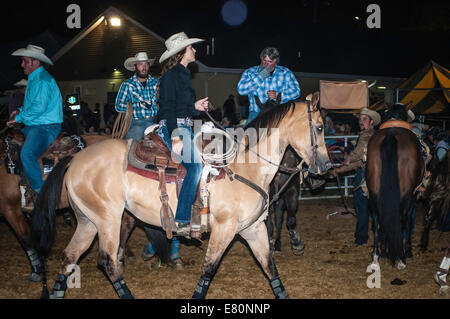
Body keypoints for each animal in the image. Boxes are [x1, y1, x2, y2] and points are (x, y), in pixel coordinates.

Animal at [30, 91, 330, 298]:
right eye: (319, 127)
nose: (325, 168)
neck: (245, 166)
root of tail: (74, 159)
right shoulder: (225, 229)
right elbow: (209, 268)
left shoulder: (253, 228)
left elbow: (270, 267)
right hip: (107, 220)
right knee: (107, 261)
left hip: (88, 221)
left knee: (69, 258)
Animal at [366, 105, 426, 270]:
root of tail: (391, 135)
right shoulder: (413, 197)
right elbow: (408, 222)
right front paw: (408, 251)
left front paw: (384, 251)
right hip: (406, 195)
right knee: (402, 219)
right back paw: (401, 258)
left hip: (374, 193)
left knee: (377, 220)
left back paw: (376, 257)